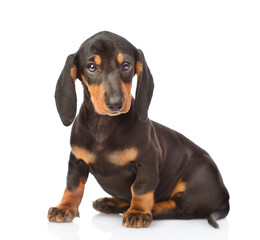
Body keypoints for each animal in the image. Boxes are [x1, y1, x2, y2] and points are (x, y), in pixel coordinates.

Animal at [47, 31, 229, 228]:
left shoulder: (147, 162)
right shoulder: (77, 161)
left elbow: (141, 189)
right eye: (91, 67)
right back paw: (110, 203)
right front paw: (65, 207)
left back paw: (144, 209)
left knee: (180, 208)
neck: (104, 126)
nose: (115, 104)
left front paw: (139, 211)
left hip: (197, 179)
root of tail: (225, 198)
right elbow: (73, 186)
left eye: (126, 65)